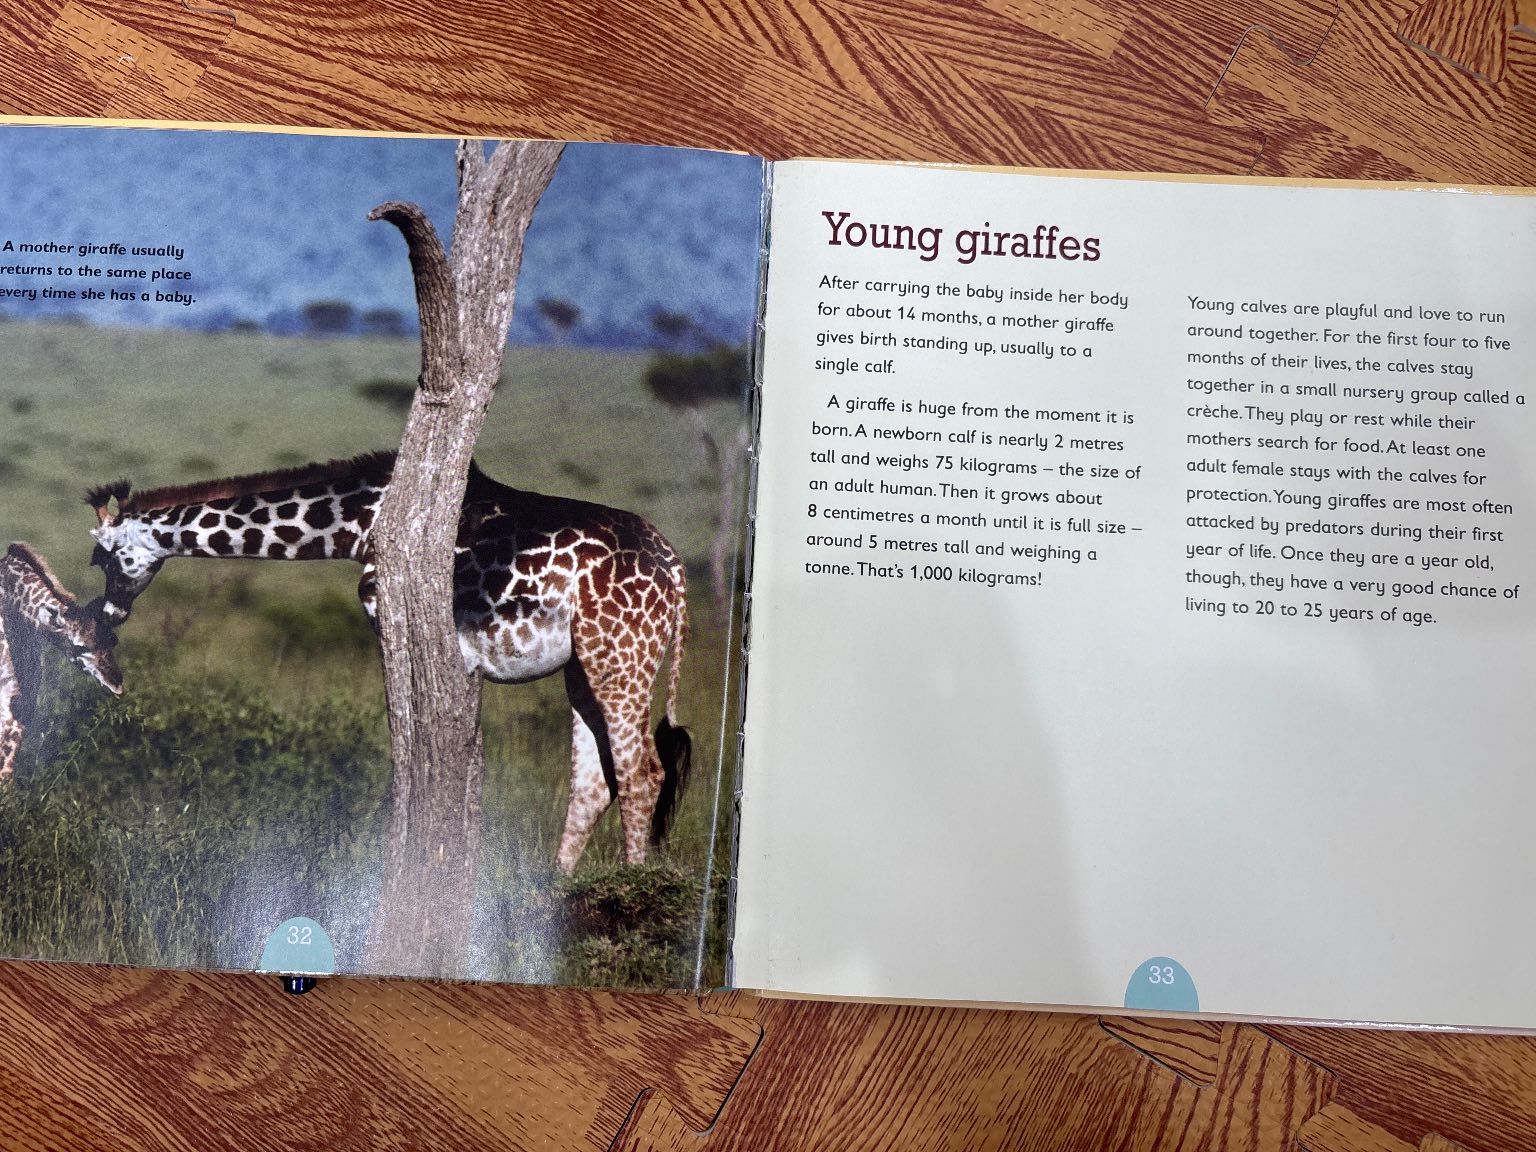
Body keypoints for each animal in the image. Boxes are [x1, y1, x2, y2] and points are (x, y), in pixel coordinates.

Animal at [84, 452, 691, 871]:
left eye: (105, 557)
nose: (109, 613)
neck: (362, 523)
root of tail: (676, 571)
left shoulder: (400, 628)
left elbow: (407, 740)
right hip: (585, 668)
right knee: (594, 782)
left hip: (622, 656)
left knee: (642, 774)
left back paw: (628, 890)